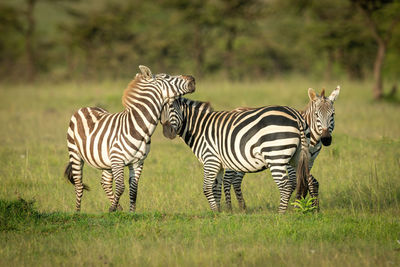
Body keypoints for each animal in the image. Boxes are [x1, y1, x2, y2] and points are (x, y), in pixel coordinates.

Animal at [64, 66, 195, 213]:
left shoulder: (138, 162)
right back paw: (77, 211)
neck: (141, 129)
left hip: (106, 162)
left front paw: (130, 212)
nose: (193, 79)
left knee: (105, 182)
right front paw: (112, 209)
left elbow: (133, 189)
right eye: (167, 77)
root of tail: (85, 107)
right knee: (79, 185)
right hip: (75, 154)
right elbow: (121, 187)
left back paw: (118, 208)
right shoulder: (117, 160)